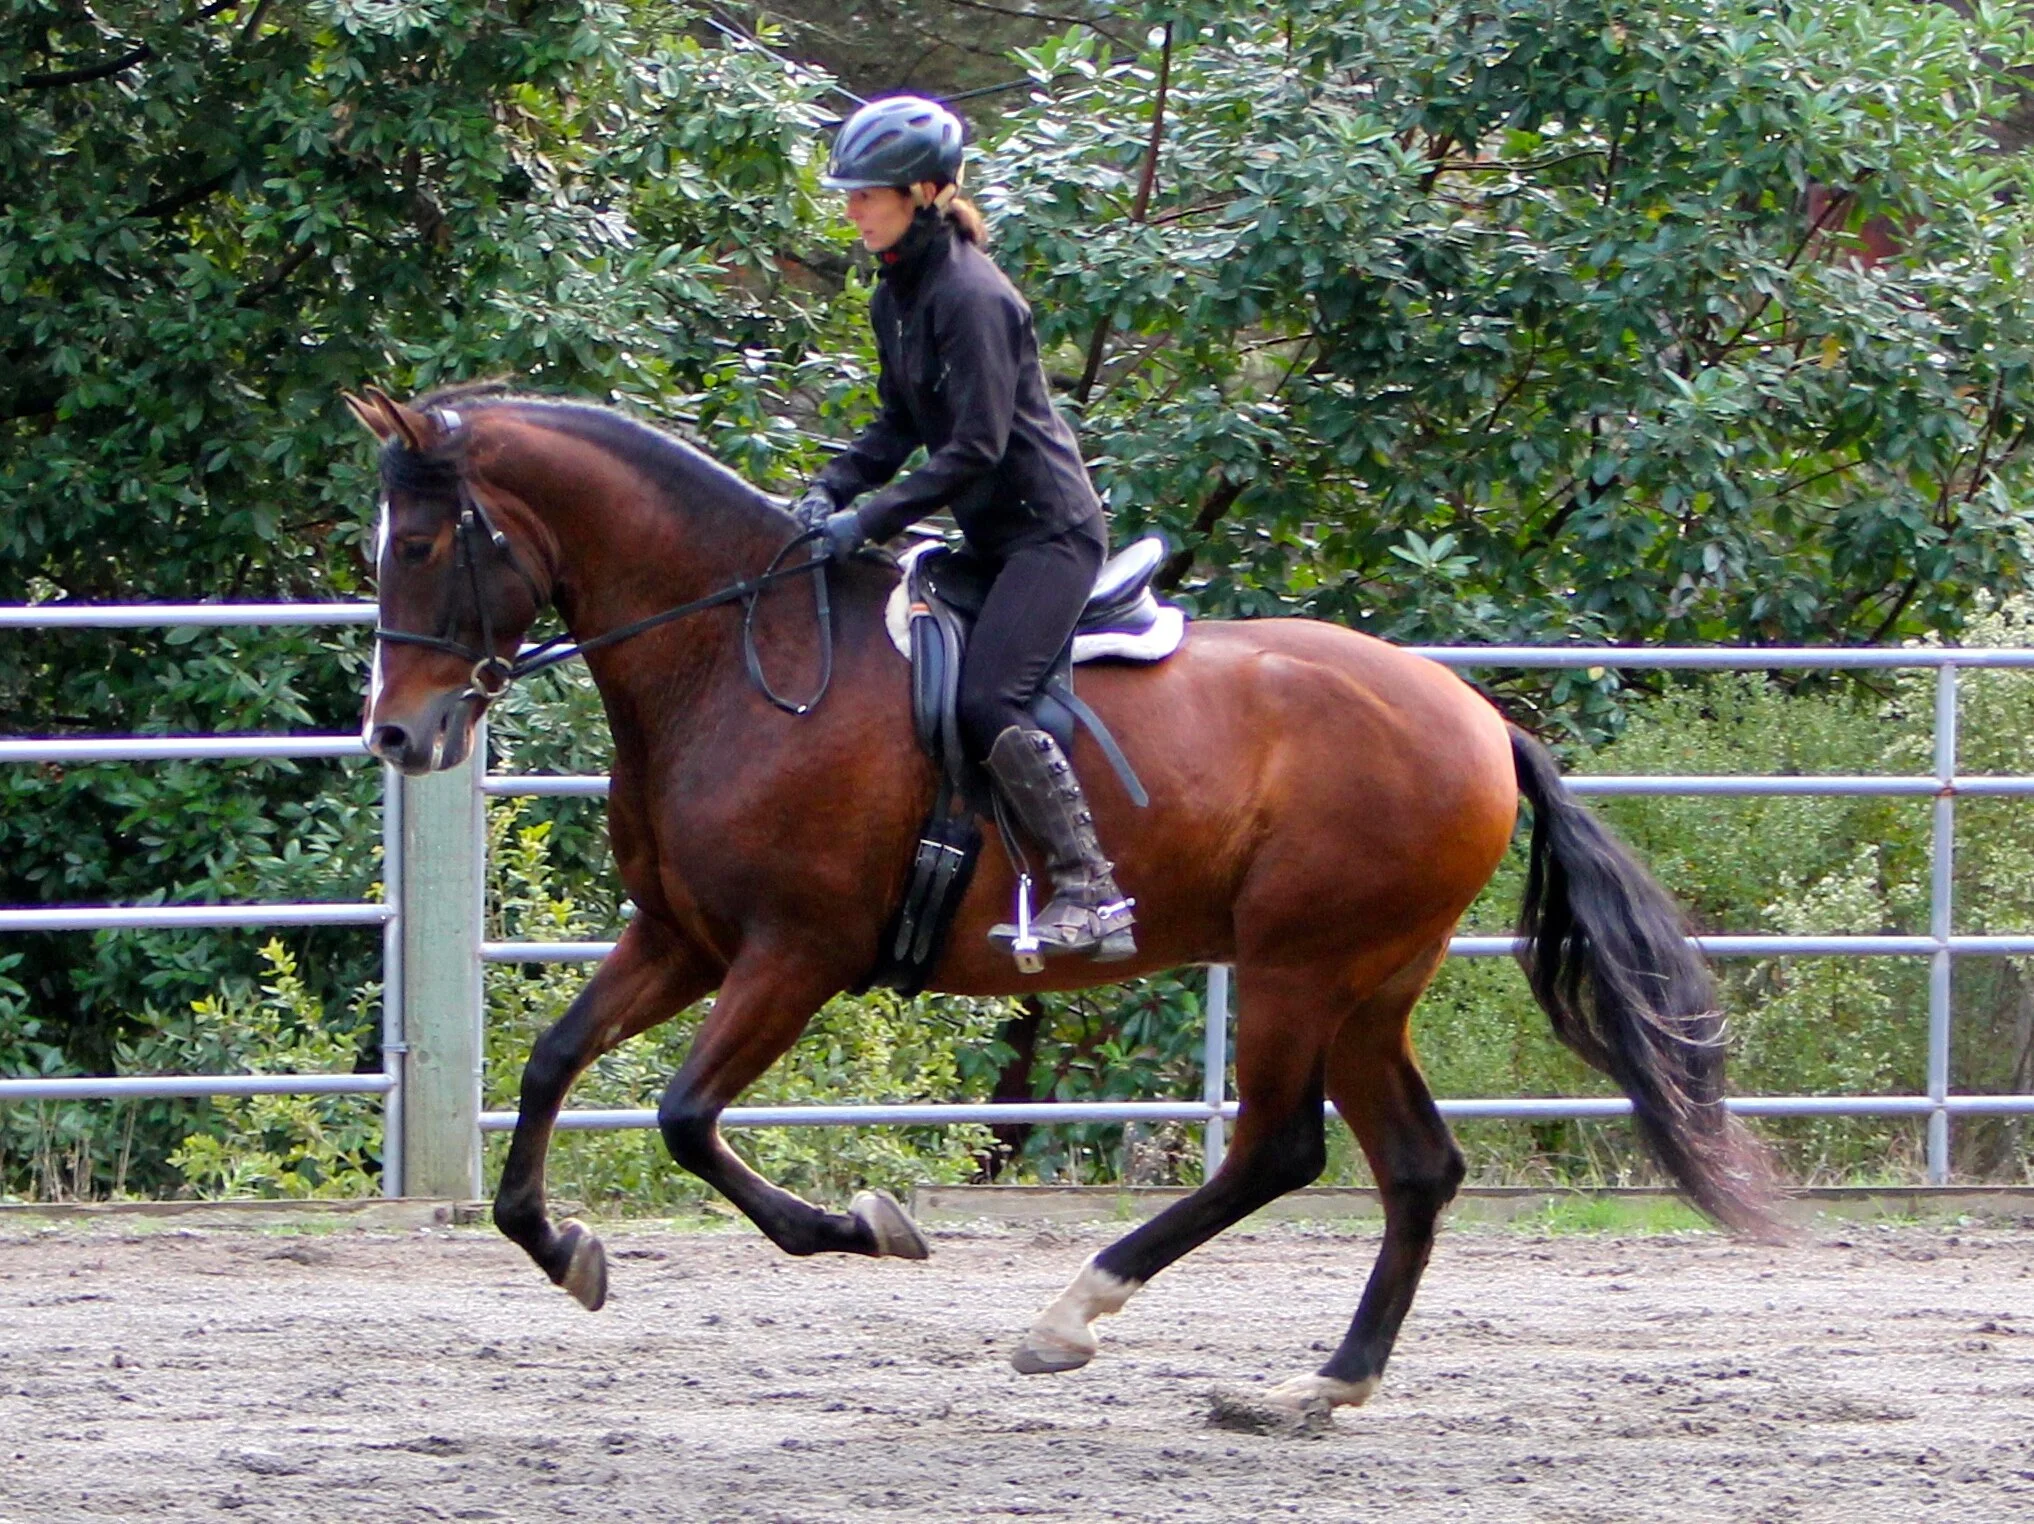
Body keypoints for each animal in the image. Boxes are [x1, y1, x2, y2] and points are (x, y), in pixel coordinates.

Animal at [346, 383, 1774, 1418]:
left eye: (418, 545)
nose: (399, 738)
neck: (741, 657)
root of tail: (1479, 717)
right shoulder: (684, 939)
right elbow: (550, 1062)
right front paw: (560, 1247)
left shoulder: (793, 956)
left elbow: (688, 1120)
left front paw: (863, 1227)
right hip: (1371, 986)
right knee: (1417, 1169)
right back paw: (1320, 1384)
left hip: (1299, 967)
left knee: (1277, 1152)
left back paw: (1074, 1314)